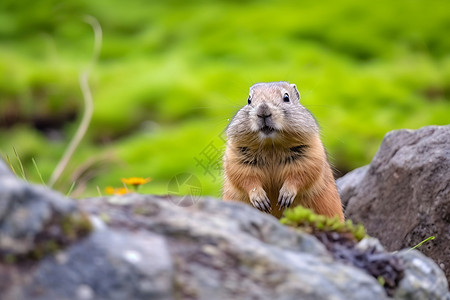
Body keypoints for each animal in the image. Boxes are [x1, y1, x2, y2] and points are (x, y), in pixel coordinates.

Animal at [222, 81, 344, 220]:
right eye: (249, 100)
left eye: (286, 97)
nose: (263, 110)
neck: (271, 145)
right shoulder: (236, 155)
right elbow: (244, 176)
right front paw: (261, 200)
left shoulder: (310, 152)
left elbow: (301, 173)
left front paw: (285, 196)